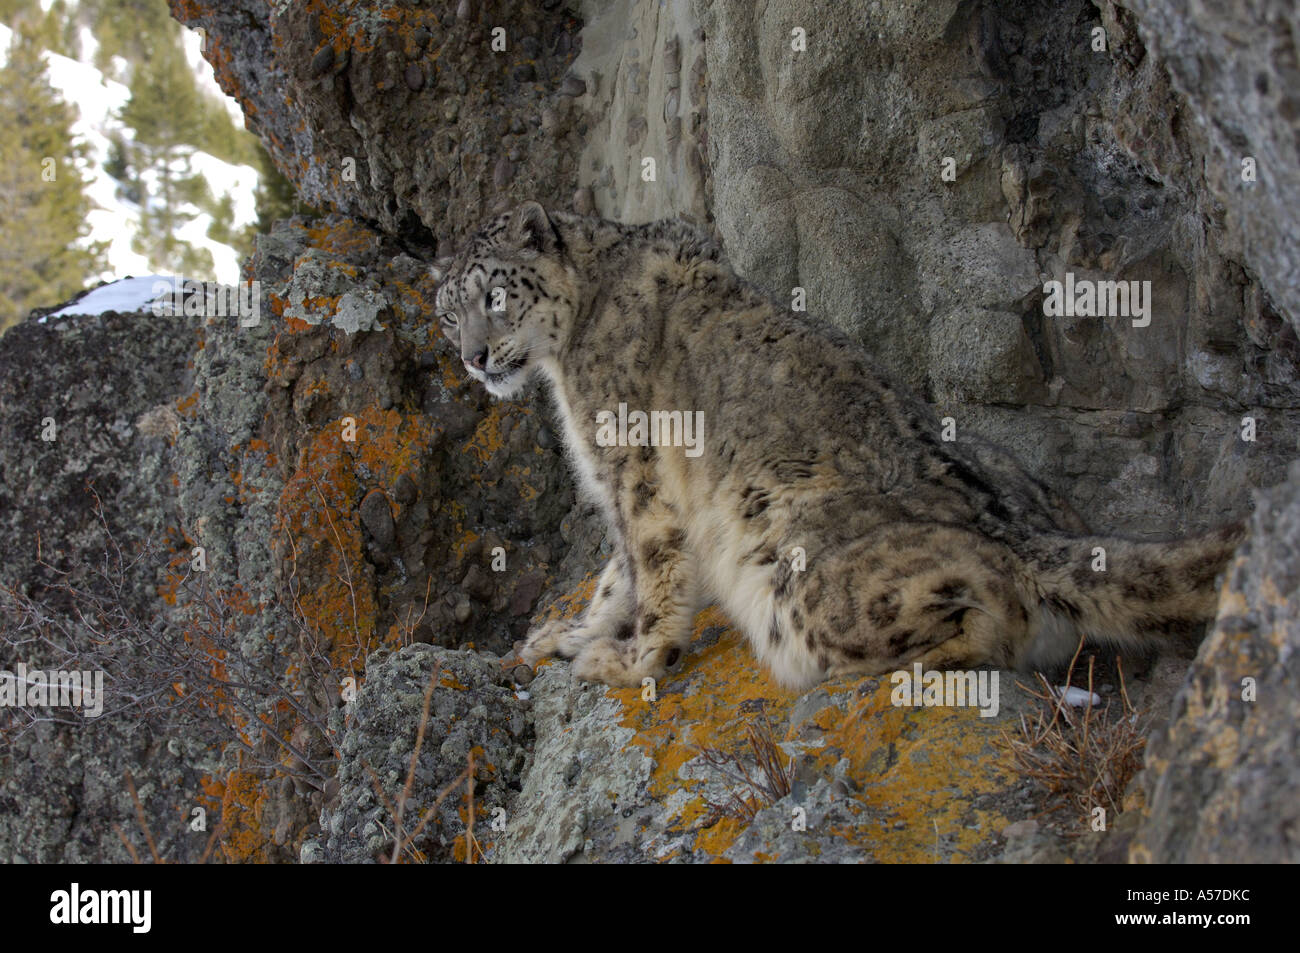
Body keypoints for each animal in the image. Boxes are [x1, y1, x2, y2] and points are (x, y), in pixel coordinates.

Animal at [431, 200, 1245, 690]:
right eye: (445, 313)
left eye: (496, 295)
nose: (473, 357)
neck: (564, 359)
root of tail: (1021, 531)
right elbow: (613, 576)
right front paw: (568, 635)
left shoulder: (633, 467)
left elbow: (650, 565)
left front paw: (631, 659)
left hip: (802, 577)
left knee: (988, 615)